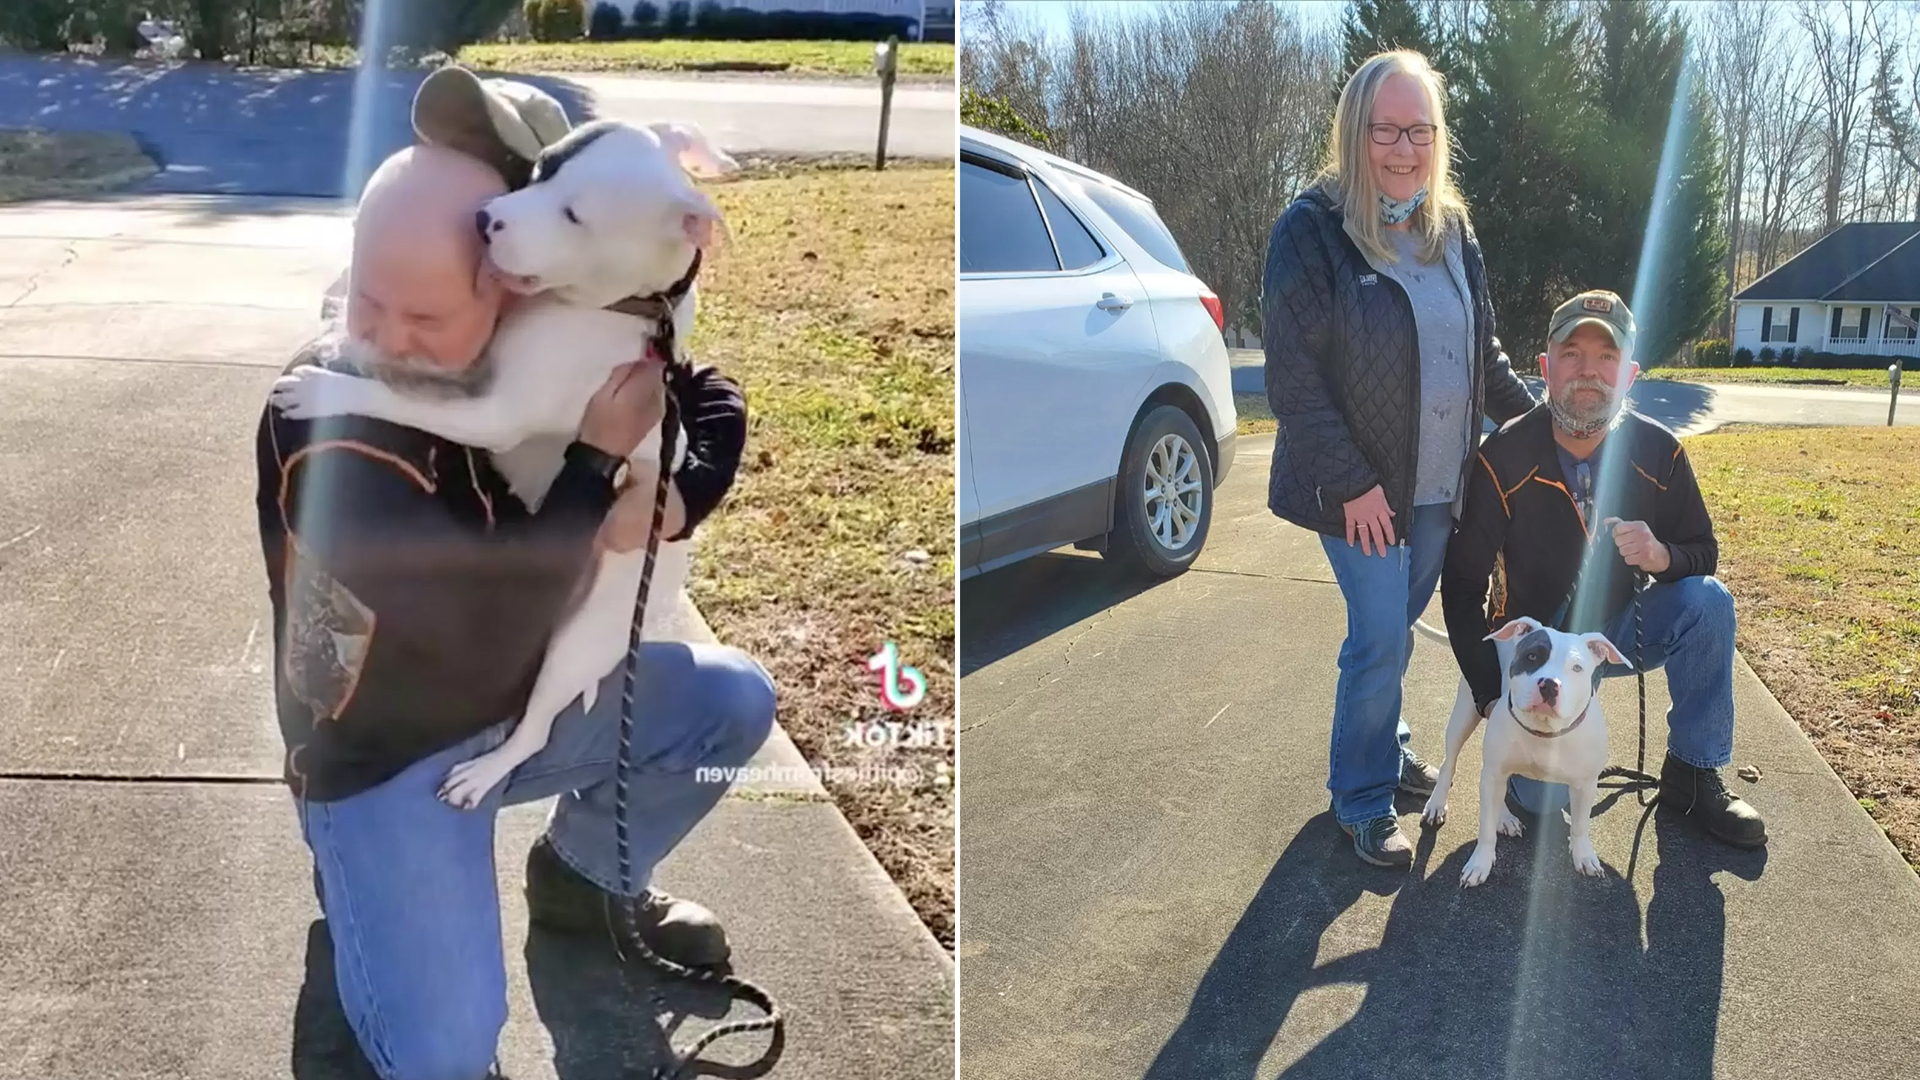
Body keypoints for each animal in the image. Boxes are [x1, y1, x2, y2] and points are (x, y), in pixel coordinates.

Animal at [274, 119, 737, 807]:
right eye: (542, 168)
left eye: (575, 216)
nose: (485, 220)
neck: (617, 308)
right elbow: (408, 376)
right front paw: (338, 333)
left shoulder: (496, 412)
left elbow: (401, 396)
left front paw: (327, 390)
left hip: (580, 638)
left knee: (537, 729)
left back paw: (485, 772)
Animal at [1420, 614, 1628, 883]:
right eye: (1532, 657)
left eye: (1577, 668)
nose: (1549, 684)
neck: (1544, 731)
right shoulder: (1494, 769)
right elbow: (1485, 829)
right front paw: (1480, 863)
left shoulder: (1586, 784)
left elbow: (1580, 825)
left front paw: (1583, 855)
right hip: (1465, 715)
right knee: (1450, 764)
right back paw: (1438, 804)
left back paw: (1504, 817)